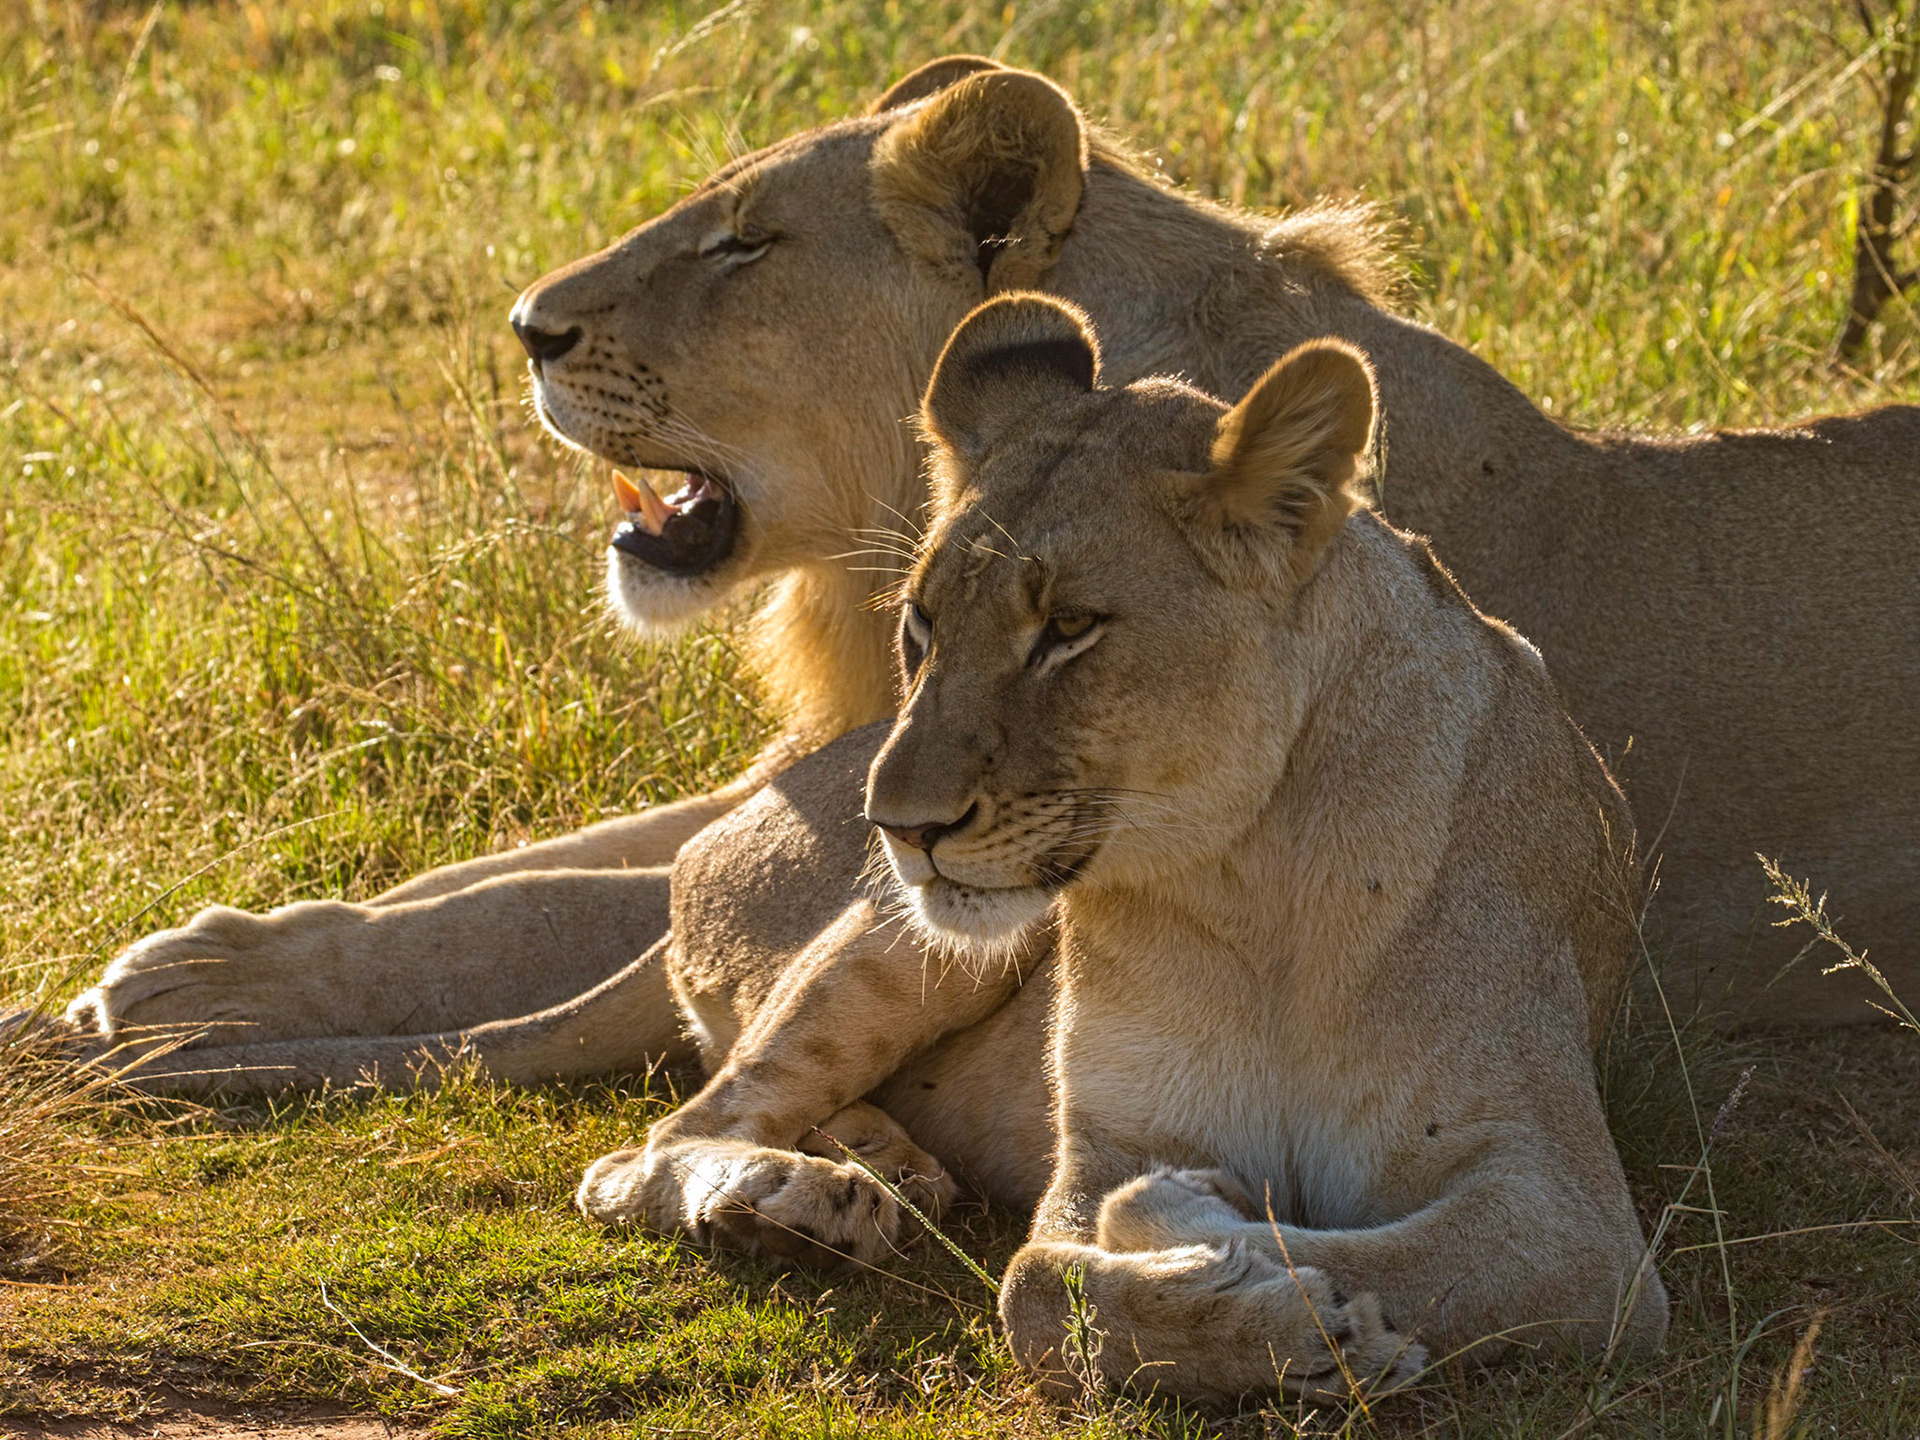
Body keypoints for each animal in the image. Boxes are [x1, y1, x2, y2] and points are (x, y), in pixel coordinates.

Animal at [65, 54, 1917, 1070]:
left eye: (743, 245)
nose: (527, 326)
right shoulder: (825, 765)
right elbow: (514, 871)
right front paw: (198, 950)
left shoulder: (885, 798)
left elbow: (547, 901)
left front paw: (184, 986)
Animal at [582, 295, 1669, 1402]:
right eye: (922, 622)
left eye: (1070, 626)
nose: (894, 825)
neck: (1250, 877)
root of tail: (723, 829)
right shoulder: (1111, 1140)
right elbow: (1042, 1286)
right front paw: (1302, 1319)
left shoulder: (1571, 1218)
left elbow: (1383, 1255)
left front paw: (1271, 1270)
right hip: (911, 942)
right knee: (653, 1148)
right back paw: (790, 1199)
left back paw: (879, 1175)